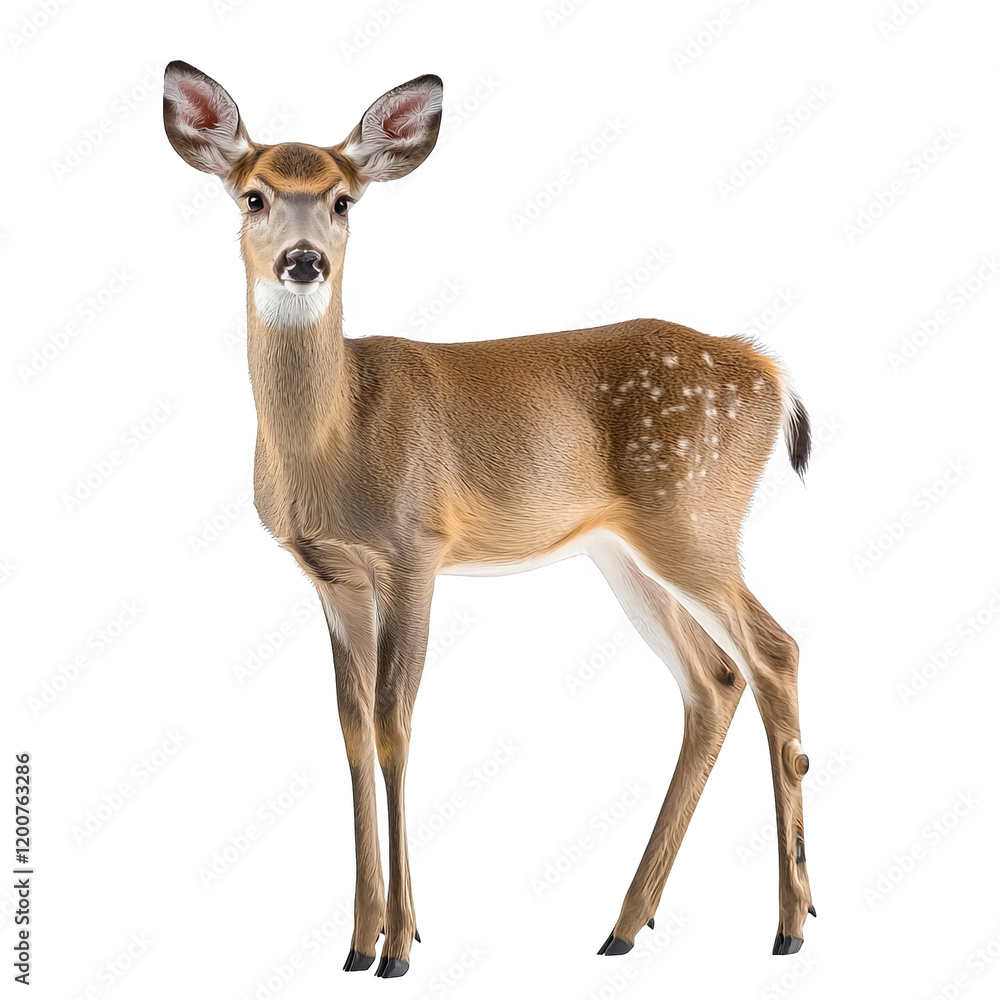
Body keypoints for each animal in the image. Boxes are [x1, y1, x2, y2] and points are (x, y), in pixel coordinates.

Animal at [163, 60, 816, 978]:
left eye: (343, 200)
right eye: (253, 196)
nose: (303, 262)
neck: (334, 437)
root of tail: (769, 369)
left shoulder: (415, 547)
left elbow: (396, 723)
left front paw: (401, 943)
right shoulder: (331, 573)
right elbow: (351, 727)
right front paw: (356, 940)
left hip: (694, 515)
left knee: (774, 652)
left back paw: (790, 922)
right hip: (624, 550)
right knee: (714, 679)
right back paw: (625, 925)